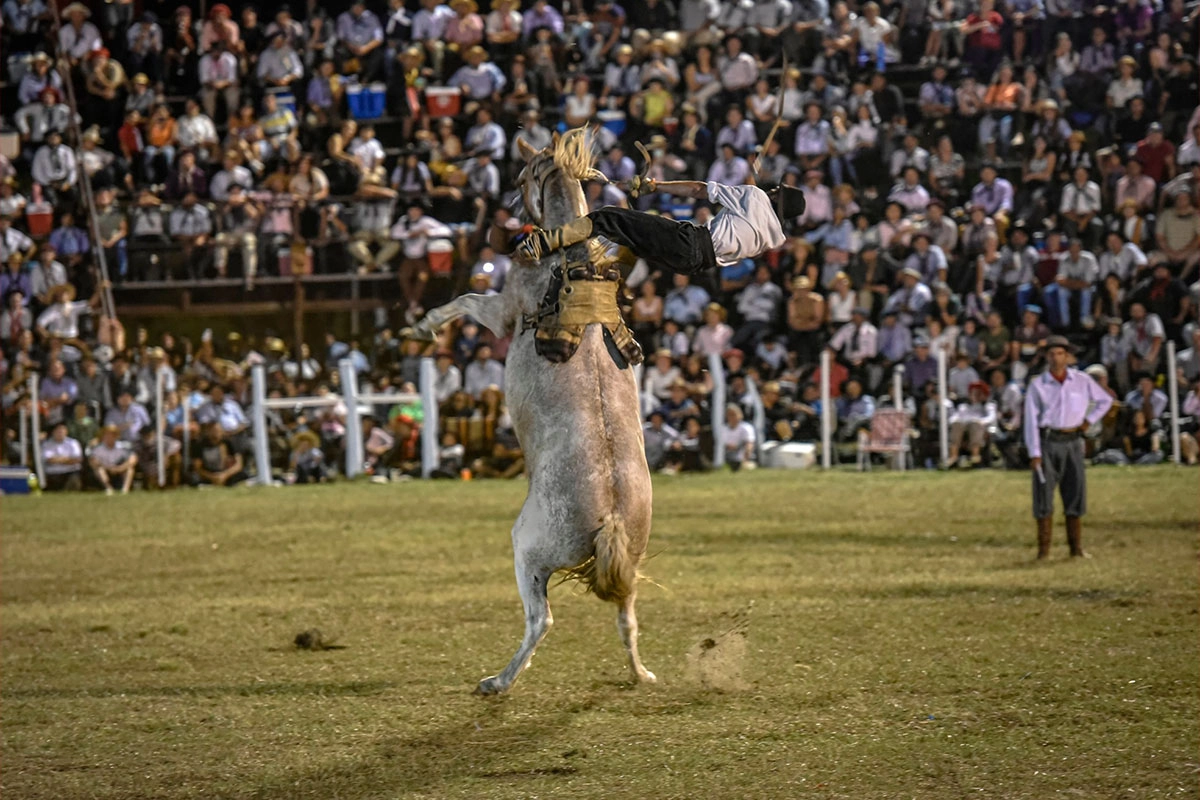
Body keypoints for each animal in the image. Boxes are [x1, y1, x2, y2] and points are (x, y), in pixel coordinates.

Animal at [412, 130, 657, 695]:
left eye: (523, 174)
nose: (508, 207)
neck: (568, 256)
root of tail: (612, 518)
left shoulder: (502, 311)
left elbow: (466, 299)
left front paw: (424, 323)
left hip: (528, 549)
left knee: (540, 619)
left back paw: (497, 682)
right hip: (629, 565)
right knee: (627, 617)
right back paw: (641, 673)